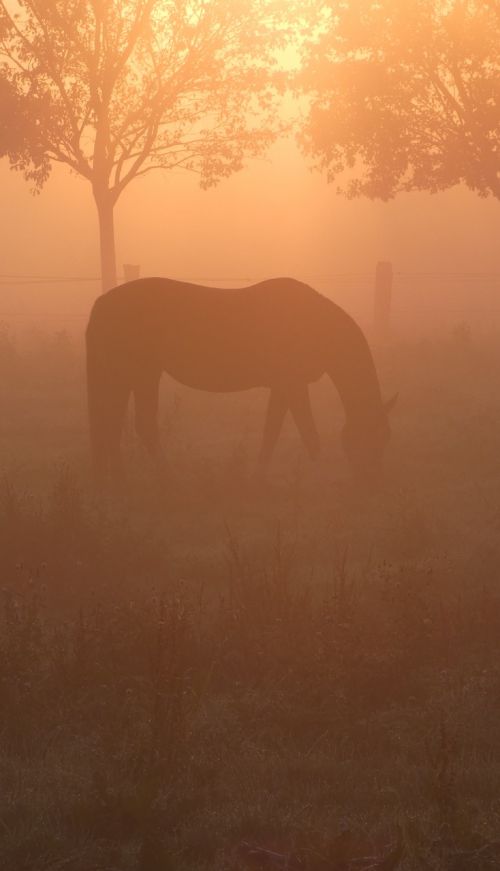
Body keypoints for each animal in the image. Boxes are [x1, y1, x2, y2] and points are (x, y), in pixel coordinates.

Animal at [87, 278, 398, 480]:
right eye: (375, 435)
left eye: (386, 436)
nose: (374, 480)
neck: (315, 324)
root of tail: (102, 302)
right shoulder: (293, 385)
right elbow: (305, 432)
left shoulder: (284, 386)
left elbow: (274, 430)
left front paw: (260, 473)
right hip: (140, 373)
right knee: (138, 424)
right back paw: (164, 475)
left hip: (129, 374)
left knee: (112, 423)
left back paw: (118, 477)